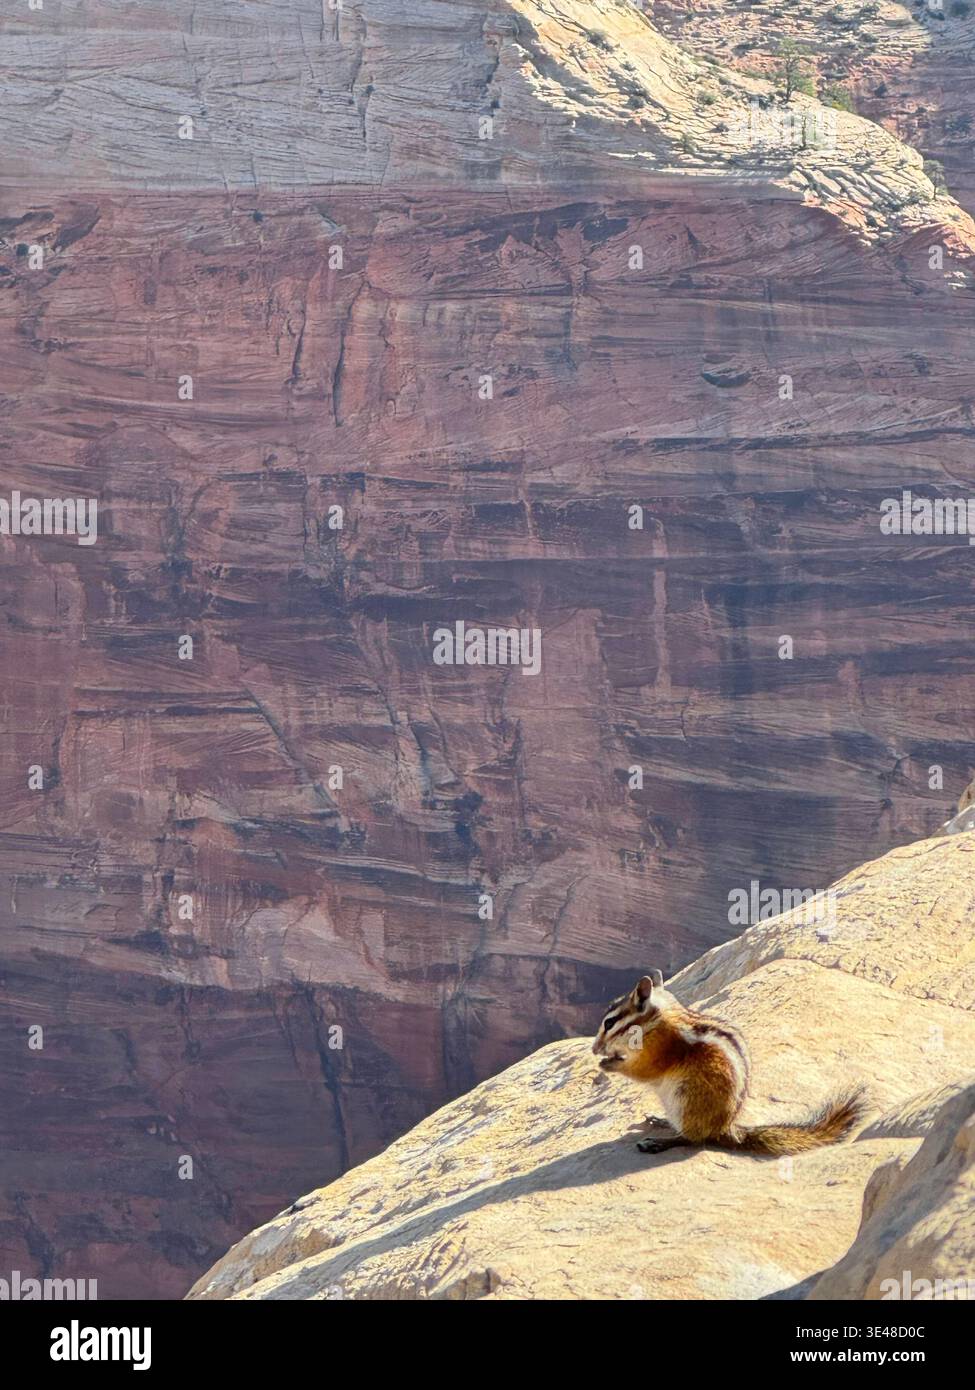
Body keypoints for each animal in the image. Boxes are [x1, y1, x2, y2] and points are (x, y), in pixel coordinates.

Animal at [592, 971, 868, 1155]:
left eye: (610, 1023)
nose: (594, 1049)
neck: (654, 1022)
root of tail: (727, 1129)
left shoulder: (660, 1050)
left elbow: (644, 1070)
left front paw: (610, 1063)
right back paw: (661, 1121)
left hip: (686, 1100)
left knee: (695, 1138)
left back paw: (660, 1141)